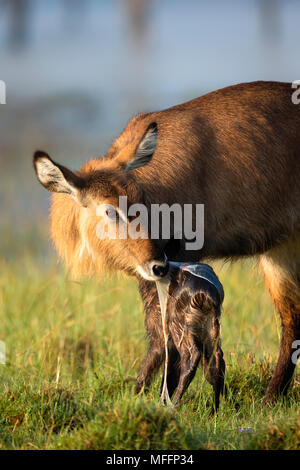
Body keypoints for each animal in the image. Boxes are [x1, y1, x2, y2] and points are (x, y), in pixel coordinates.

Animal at [161, 262, 224, 414]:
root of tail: (204, 294)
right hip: (211, 331)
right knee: (217, 359)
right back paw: (214, 410)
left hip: (181, 328)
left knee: (192, 357)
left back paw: (174, 403)